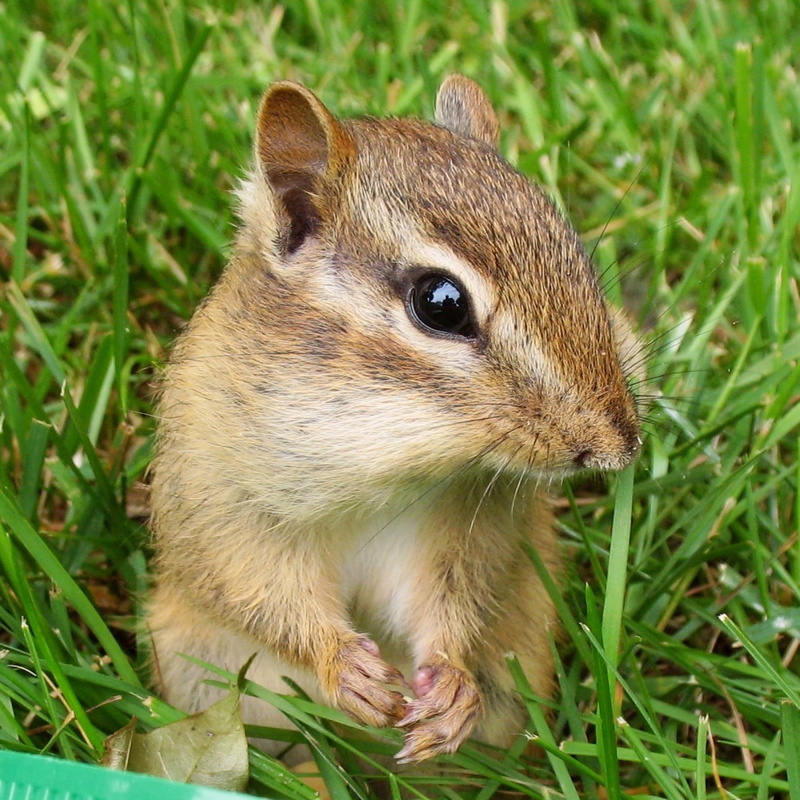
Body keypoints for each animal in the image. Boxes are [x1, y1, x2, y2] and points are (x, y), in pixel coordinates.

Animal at [147, 75, 642, 764]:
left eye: (577, 259)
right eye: (441, 303)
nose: (619, 444)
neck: (389, 447)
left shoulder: (467, 524)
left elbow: (458, 599)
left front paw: (452, 685)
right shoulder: (222, 502)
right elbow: (249, 586)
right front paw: (342, 666)